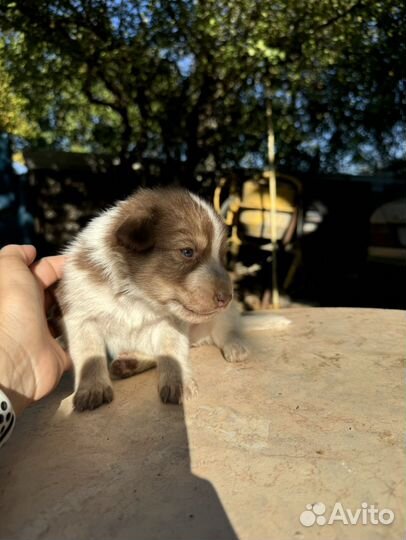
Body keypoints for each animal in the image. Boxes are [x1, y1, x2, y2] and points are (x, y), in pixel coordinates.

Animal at [56, 188, 247, 412]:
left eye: (222, 255)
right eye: (187, 252)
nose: (227, 297)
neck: (136, 296)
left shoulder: (169, 322)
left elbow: (171, 351)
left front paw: (179, 383)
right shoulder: (80, 316)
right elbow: (89, 355)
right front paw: (92, 389)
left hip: (223, 318)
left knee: (229, 330)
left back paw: (236, 347)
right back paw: (129, 364)